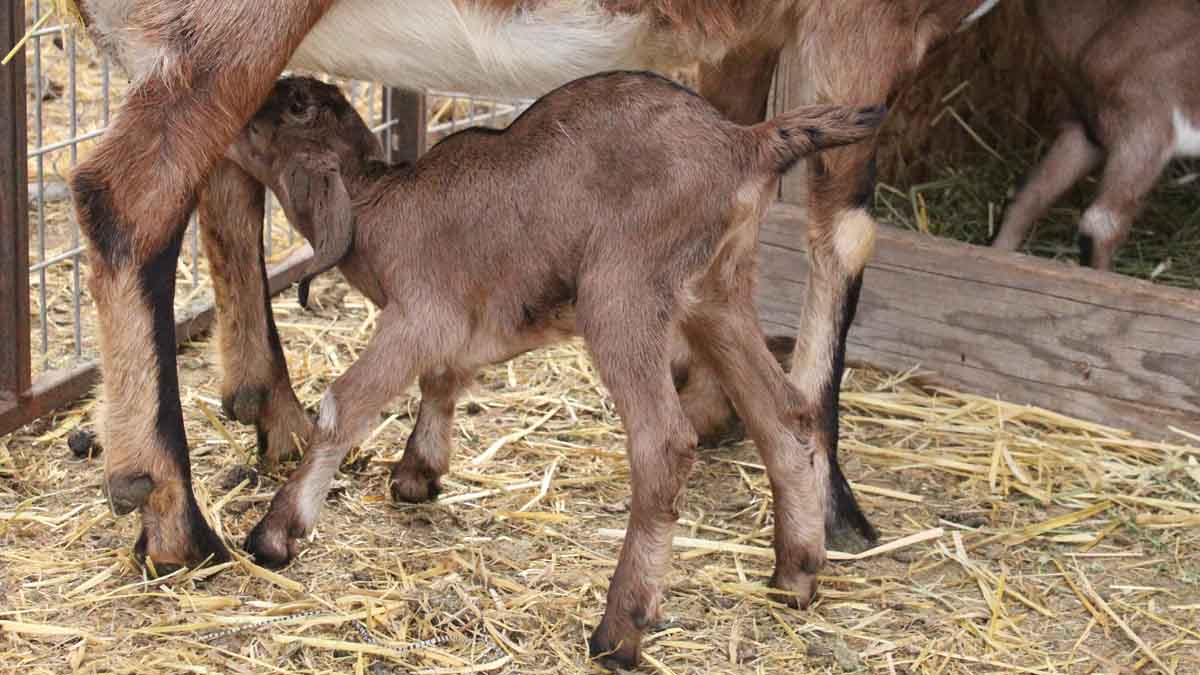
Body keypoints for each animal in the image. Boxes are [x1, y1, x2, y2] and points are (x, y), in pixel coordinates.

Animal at [226, 74, 883, 667]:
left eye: (291, 106)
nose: (232, 122)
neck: (380, 205)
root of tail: (744, 142)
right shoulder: (459, 324)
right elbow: (442, 379)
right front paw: (419, 474)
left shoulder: (419, 314)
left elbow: (344, 405)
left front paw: (277, 533)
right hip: (716, 295)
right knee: (785, 415)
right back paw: (796, 574)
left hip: (622, 290)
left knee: (665, 445)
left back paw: (621, 631)